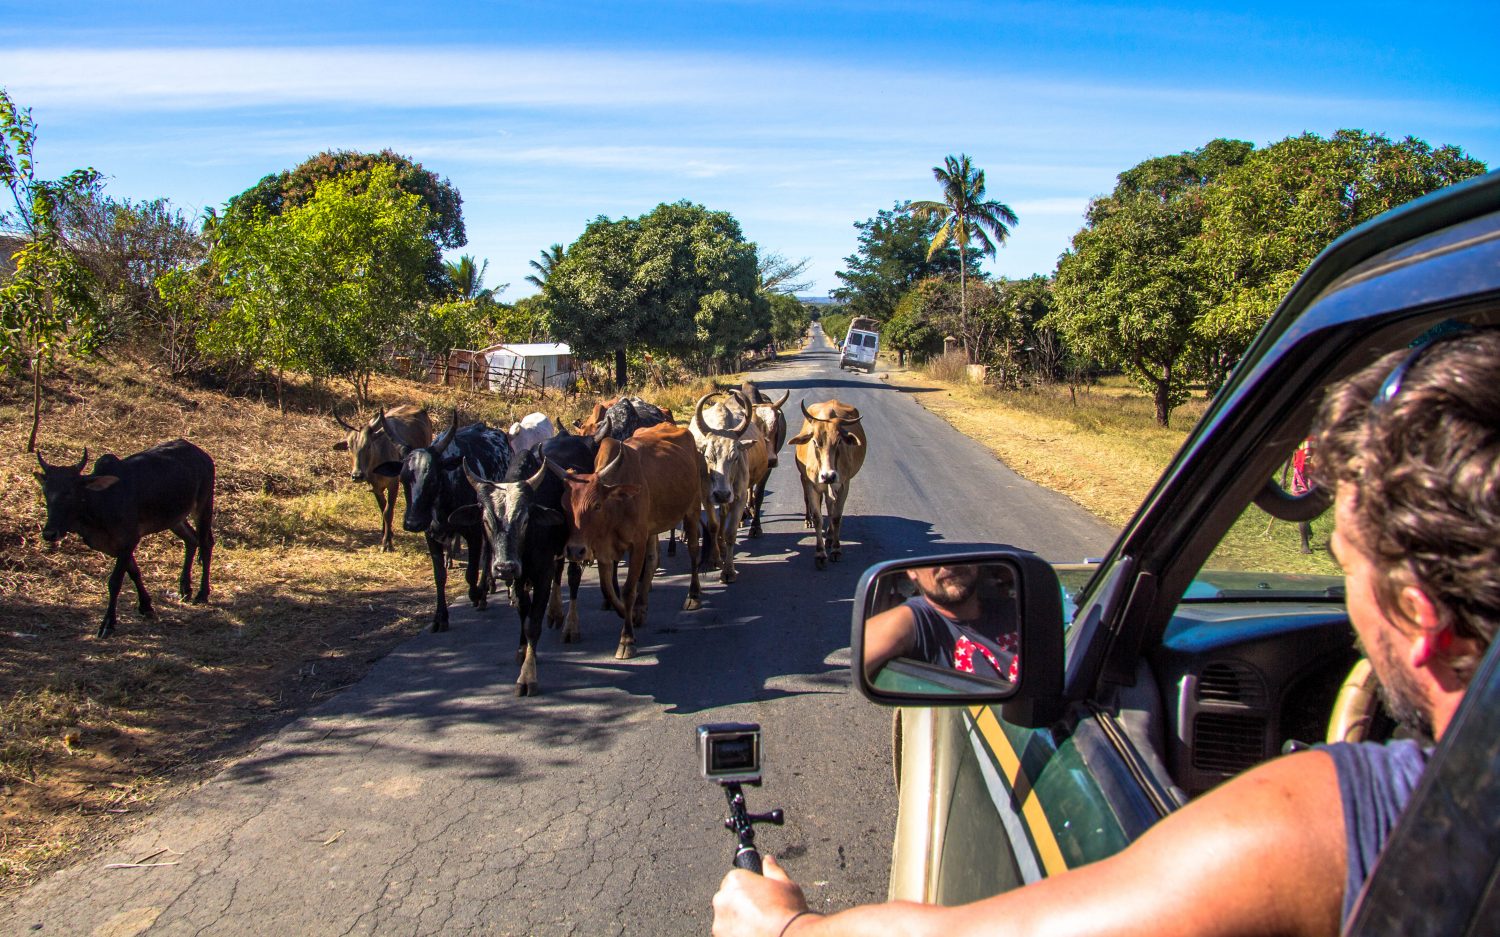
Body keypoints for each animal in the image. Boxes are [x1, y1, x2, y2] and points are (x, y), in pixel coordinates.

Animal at [33, 437, 214, 635]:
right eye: (46, 492)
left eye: (70, 492)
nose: (50, 533)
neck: (101, 502)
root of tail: (201, 454)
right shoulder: (118, 545)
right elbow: (134, 573)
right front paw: (146, 606)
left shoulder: (129, 540)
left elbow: (115, 582)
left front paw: (108, 623)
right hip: (175, 519)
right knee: (191, 540)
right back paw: (185, 589)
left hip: (203, 506)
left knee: (206, 543)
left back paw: (202, 594)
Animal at [334, 401, 435, 548]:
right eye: (348, 446)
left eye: (369, 445)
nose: (357, 475)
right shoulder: (376, 487)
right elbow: (383, 508)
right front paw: (386, 532)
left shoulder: (393, 484)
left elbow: (388, 511)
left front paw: (387, 543)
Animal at [453, 431, 594, 695]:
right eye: (485, 519)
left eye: (525, 519)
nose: (503, 567)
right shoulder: (520, 575)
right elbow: (522, 609)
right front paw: (522, 649)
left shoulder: (541, 573)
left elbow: (533, 623)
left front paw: (527, 676)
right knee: (559, 574)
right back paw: (555, 614)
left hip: (575, 545)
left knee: (572, 578)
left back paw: (571, 627)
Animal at [555, 422, 705, 656]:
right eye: (564, 505)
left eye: (597, 505)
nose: (575, 551)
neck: (616, 506)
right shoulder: (604, 550)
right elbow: (609, 589)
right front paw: (631, 614)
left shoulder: (637, 543)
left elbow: (627, 591)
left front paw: (626, 640)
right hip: (652, 527)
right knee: (652, 561)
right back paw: (642, 607)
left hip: (692, 510)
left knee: (692, 552)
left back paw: (693, 596)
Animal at [786, 398, 870, 566]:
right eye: (815, 442)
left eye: (839, 442)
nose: (828, 476)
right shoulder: (812, 485)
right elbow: (818, 518)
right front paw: (820, 553)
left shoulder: (844, 484)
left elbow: (836, 516)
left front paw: (836, 549)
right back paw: (810, 523)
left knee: (831, 506)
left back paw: (830, 538)